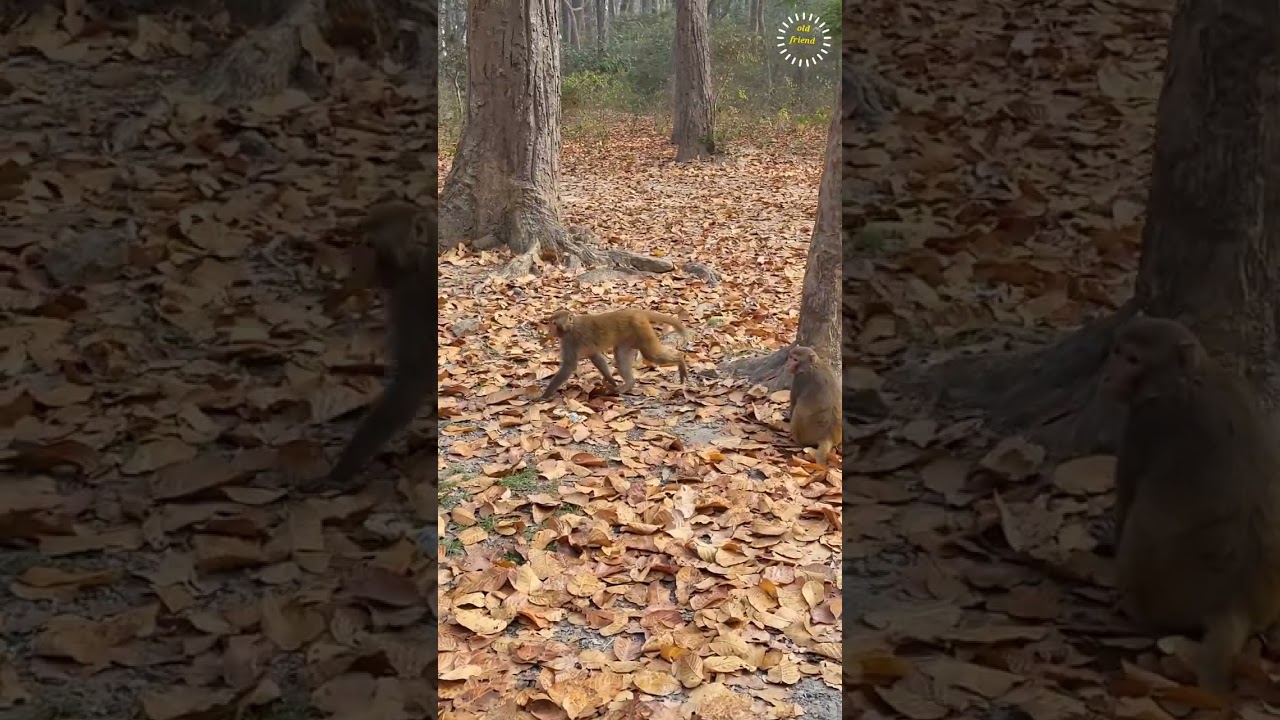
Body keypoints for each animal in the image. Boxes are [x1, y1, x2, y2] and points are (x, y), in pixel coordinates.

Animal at [539, 308, 690, 400]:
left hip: (641, 329)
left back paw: (680, 360)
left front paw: (544, 396)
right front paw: (611, 380)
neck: (570, 327)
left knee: (651, 355)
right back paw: (628, 384)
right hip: (630, 338)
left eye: (553, 323)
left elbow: (569, 366)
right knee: (621, 357)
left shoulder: (569, 340)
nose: (549, 328)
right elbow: (596, 357)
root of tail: (635, 311)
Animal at [1102, 314, 1280, 694]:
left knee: (1141, 521)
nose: (1109, 375)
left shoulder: (1147, 421)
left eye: (1133, 360)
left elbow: (1127, 496)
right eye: (1118, 351)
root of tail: (1234, 605)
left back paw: (1133, 607)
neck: (1189, 378)